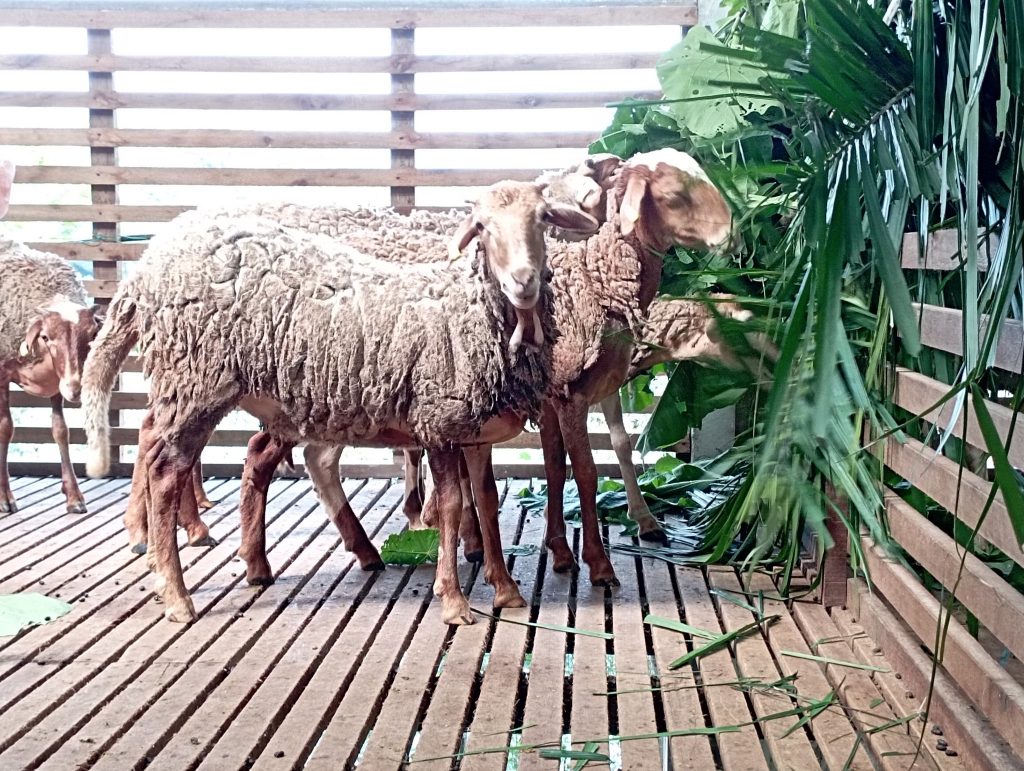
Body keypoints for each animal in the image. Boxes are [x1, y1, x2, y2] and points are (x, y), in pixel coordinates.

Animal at [0, 160, 103, 514]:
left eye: (90, 336)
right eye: (46, 337)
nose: (76, 389)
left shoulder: (59, 381)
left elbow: (60, 431)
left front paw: (74, 495)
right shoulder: (1, 372)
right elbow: (5, 428)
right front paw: (5, 497)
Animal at [82, 180, 597, 626]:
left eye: (542, 218)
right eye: (483, 226)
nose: (522, 281)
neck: (471, 310)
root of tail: (149, 263)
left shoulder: (475, 430)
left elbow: (487, 502)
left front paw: (506, 590)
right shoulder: (436, 419)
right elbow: (452, 507)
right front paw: (453, 600)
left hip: (206, 388)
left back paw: (237, 566)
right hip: (196, 379)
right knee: (166, 472)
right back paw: (175, 592)